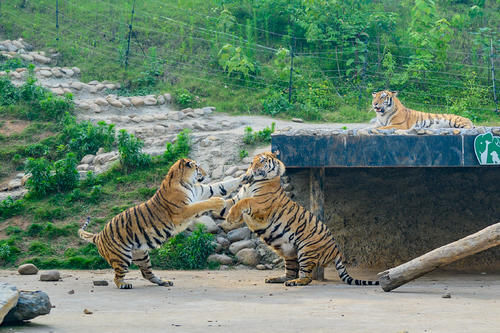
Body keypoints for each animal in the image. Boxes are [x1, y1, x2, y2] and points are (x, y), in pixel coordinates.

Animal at [78, 158, 242, 288]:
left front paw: (245, 176)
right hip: (122, 257)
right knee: (117, 276)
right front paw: (218, 201)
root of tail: (99, 235)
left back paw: (164, 282)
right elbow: (201, 204)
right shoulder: (182, 211)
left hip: (141, 255)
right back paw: (124, 284)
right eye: (198, 167)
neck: (186, 182)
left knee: (147, 273)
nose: (206, 173)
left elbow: (221, 185)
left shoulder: (201, 191)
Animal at [220, 152, 378, 286]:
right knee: (290, 273)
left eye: (262, 161)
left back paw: (295, 282)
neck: (252, 181)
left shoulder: (261, 204)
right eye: (253, 162)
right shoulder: (237, 199)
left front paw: (231, 217)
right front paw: (226, 213)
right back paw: (276, 279)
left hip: (306, 251)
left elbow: (245, 202)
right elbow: (228, 202)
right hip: (289, 253)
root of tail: (336, 249)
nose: (253, 169)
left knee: (306, 277)